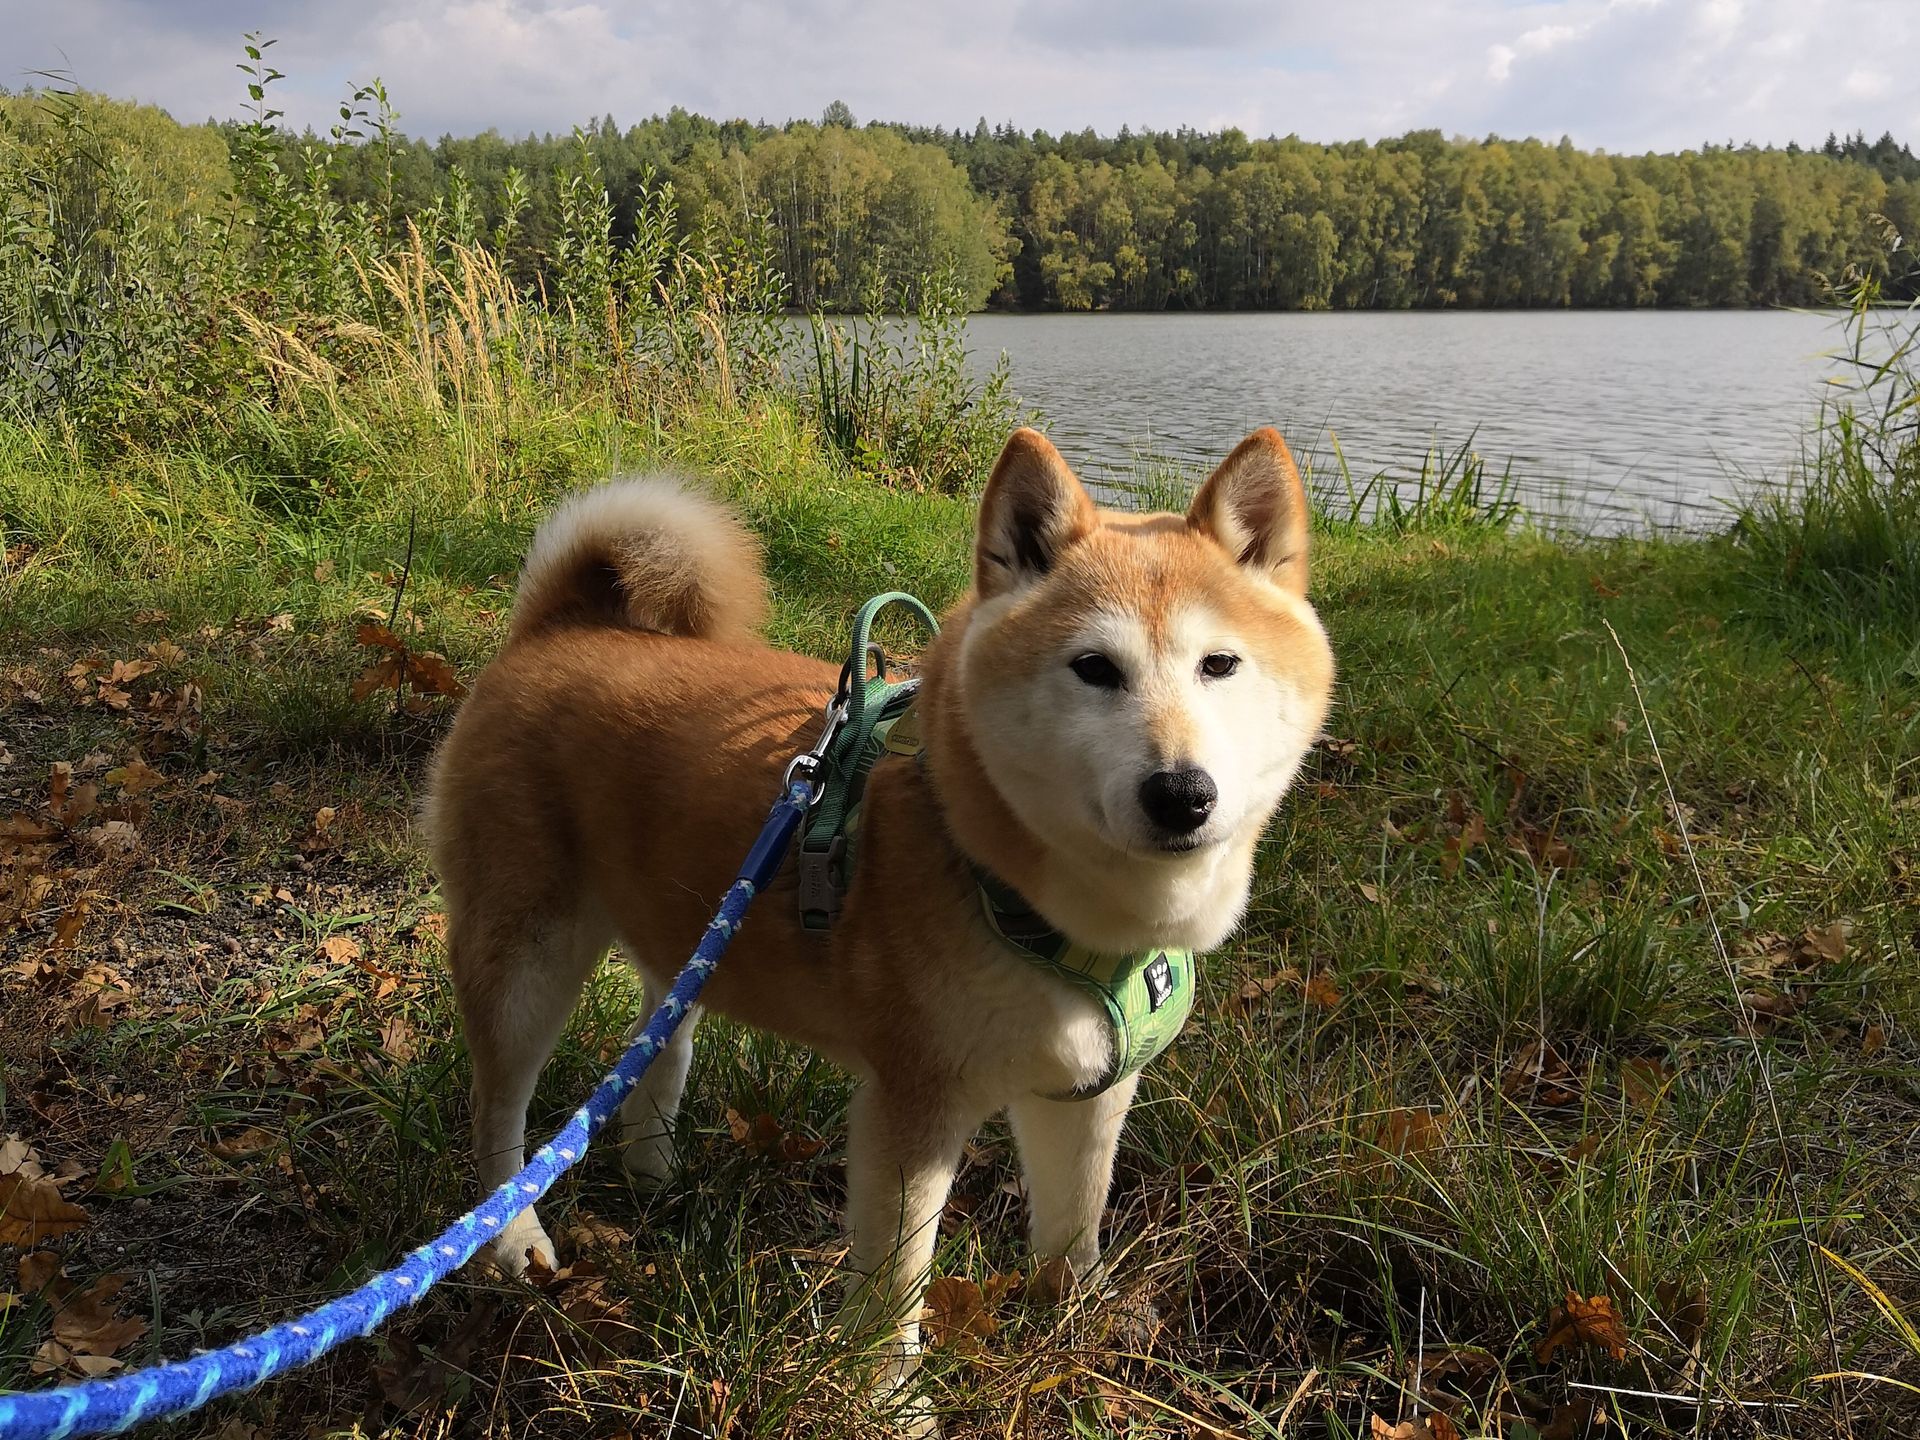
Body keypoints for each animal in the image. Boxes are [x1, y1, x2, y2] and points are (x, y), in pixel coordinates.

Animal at [424, 428, 1336, 1397]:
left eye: (1219, 664)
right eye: (1095, 669)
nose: (1182, 794)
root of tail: (557, 627)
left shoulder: (1087, 1088)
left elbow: (1073, 1229)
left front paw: (1076, 1335)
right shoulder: (915, 1105)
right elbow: (897, 1283)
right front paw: (887, 1399)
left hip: (688, 938)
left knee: (657, 1044)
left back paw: (652, 1167)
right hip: (526, 955)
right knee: (498, 1111)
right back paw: (512, 1242)